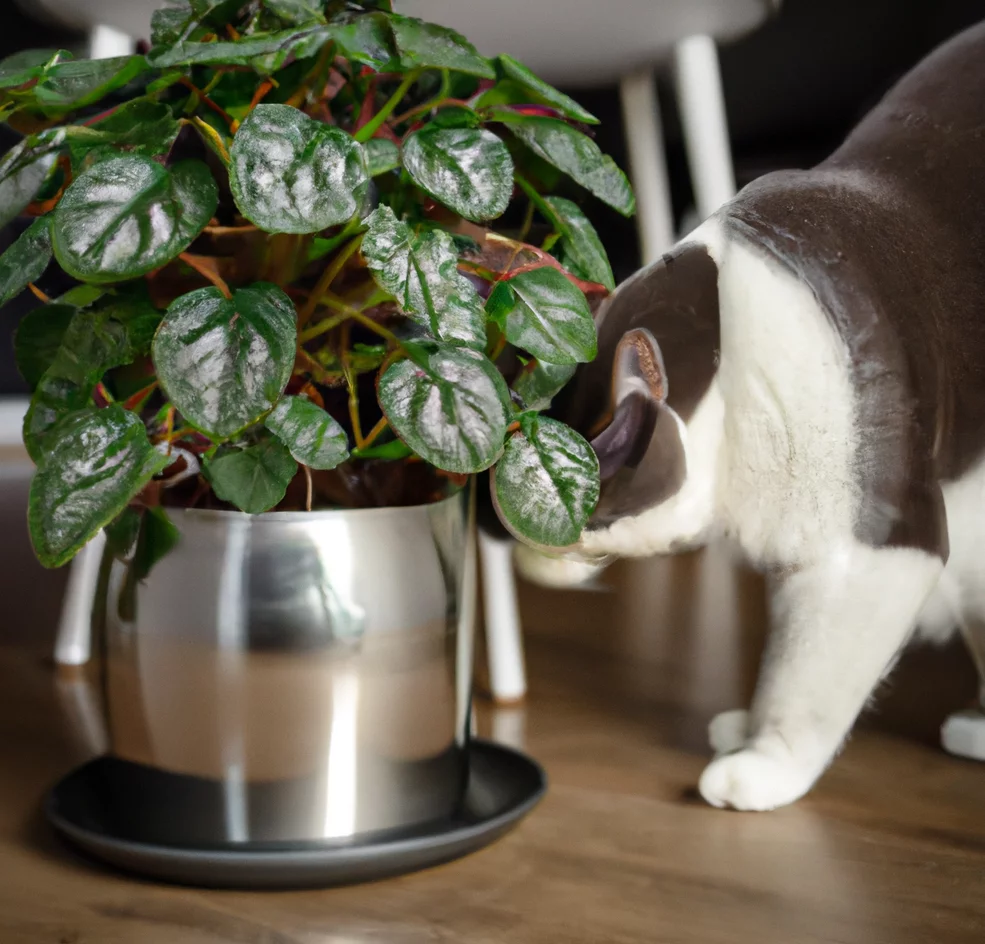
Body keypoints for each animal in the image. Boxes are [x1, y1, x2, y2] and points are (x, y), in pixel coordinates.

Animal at [504, 18, 984, 808]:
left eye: (561, 492)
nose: (510, 545)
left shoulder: (865, 548)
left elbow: (803, 679)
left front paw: (761, 766)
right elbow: (782, 654)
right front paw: (742, 729)